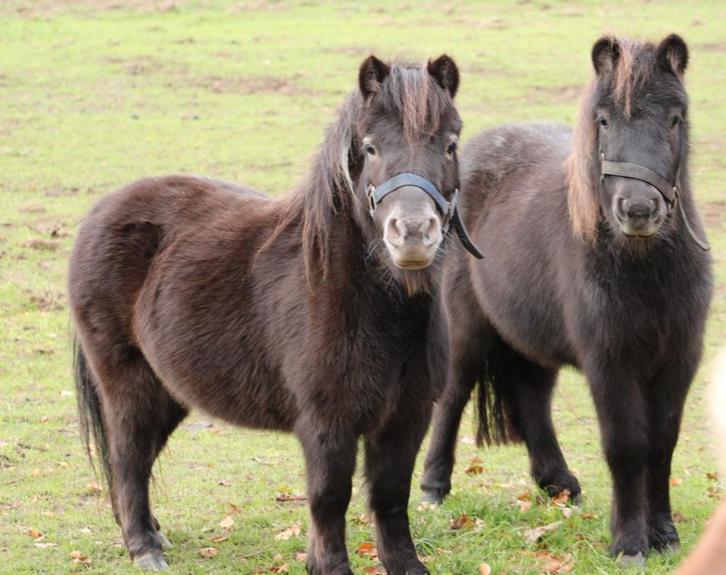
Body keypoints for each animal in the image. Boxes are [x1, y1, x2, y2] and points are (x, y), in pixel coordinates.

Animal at [70, 54, 482, 574]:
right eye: (370, 147)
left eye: (450, 144)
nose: (411, 233)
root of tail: (100, 211)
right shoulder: (326, 423)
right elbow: (329, 497)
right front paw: (328, 565)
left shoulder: (407, 418)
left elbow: (391, 496)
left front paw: (405, 564)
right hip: (128, 383)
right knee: (127, 456)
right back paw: (144, 546)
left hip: (168, 391)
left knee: (139, 459)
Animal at [420, 34, 712, 564]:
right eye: (603, 120)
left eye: (675, 118)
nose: (638, 209)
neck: (645, 269)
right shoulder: (610, 361)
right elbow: (626, 444)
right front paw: (629, 543)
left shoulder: (680, 359)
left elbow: (663, 443)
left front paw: (664, 535)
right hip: (467, 330)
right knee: (452, 396)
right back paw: (434, 487)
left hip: (529, 335)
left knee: (533, 397)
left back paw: (557, 483)